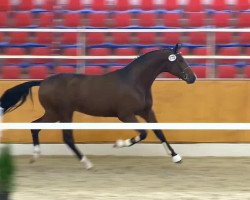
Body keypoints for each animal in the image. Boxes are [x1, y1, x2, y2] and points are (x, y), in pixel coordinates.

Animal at [0, 43, 195, 169]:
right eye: (179, 60)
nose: (192, 78)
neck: (135, 82)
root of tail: (42, 82)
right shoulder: (126, 115)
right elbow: (143, 133)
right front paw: (119, 144)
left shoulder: (147, 111)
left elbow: (159, 132)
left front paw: (176, 157)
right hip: (63, 113)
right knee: (66, 137)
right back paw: (86, 163)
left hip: (53, 113)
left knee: (34, 126)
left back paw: (35, 156)